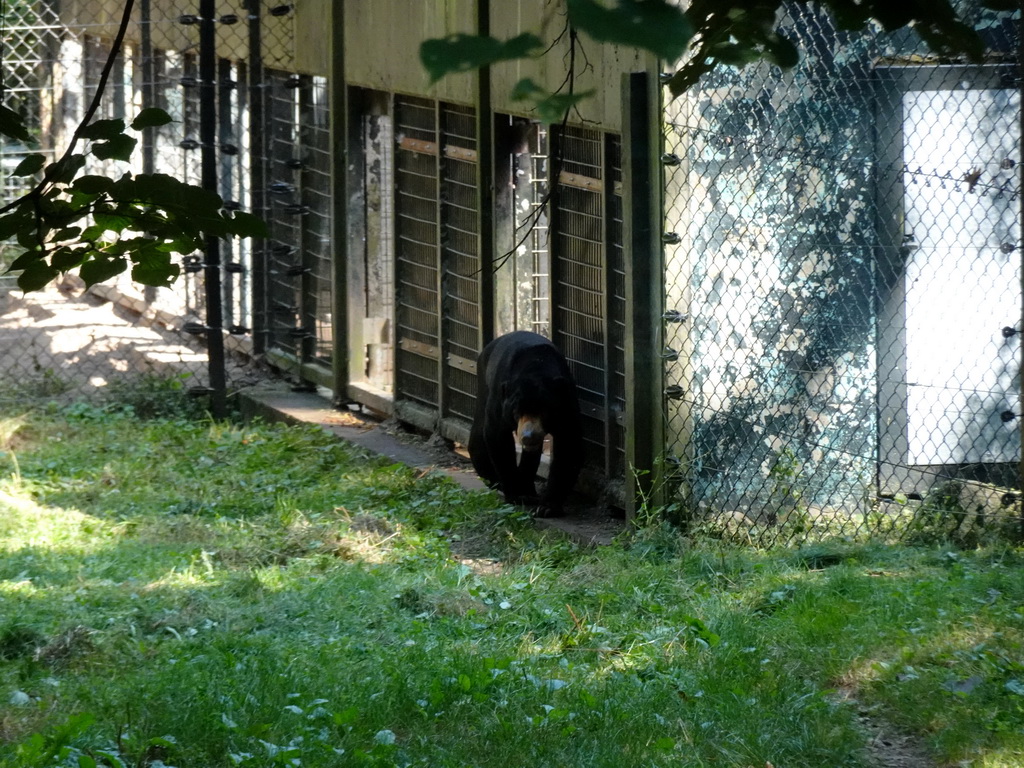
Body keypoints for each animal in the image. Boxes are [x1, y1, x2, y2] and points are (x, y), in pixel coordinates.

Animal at [468, 331, 581, 518]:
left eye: (545, 411)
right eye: (516, 412)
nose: (528, 436)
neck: (535, 368)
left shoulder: (567, 402)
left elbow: (568, 444)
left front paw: (547, 507)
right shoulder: (500, 399)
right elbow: (498, 437)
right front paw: (516, 494)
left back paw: (529, 491)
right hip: (483, 385)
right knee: (478, 437)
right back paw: (495, 481)